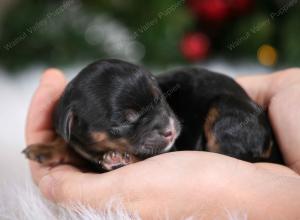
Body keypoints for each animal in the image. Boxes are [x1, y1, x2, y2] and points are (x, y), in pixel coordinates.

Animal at [22, 58, 282, 172]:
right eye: (125, 119)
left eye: (162, 100)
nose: (171, 130)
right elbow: (70, 146)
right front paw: (46, 148)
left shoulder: (170, 148)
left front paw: (122, 158)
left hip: (225, 109)